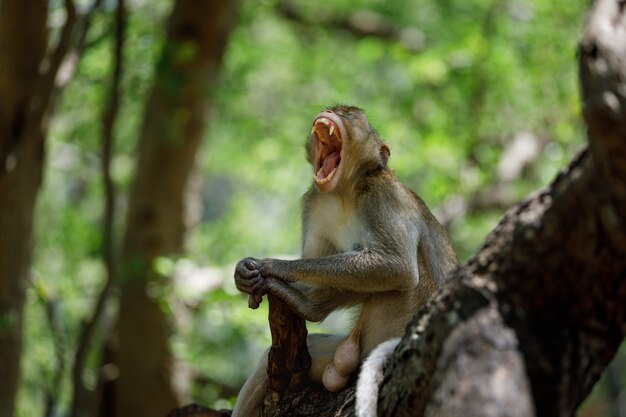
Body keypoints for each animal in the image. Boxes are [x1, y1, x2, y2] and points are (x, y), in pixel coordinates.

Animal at [232, 105, 456, 416]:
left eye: (352, 115)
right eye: (337, 109)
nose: (330, 111)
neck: (344, 191)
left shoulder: (382, 195)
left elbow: (397, 266)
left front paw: (272, 267)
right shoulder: (314, 202)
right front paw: (248, 277)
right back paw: (306, 307)